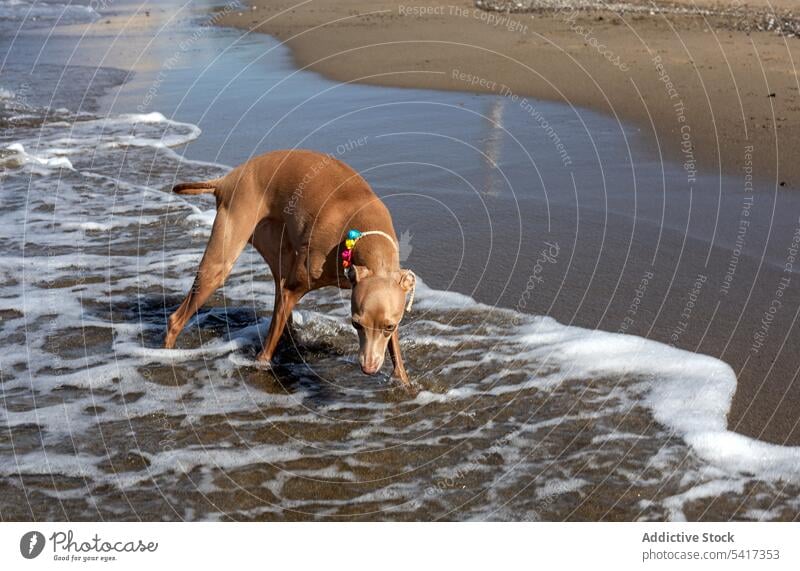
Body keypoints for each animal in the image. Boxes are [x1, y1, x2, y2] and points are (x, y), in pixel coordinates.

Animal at [162, 150, 416, 386]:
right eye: (355, 323)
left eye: (390, 326)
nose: (368, 368)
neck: (361, 229)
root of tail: (227, 179)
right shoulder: (295, 288)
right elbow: (266, 351)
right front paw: (261, 365)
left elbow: (395, 350)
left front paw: (403, 380)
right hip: (220, 262)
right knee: (177, 318)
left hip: (277, 248)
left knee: (279, 291)